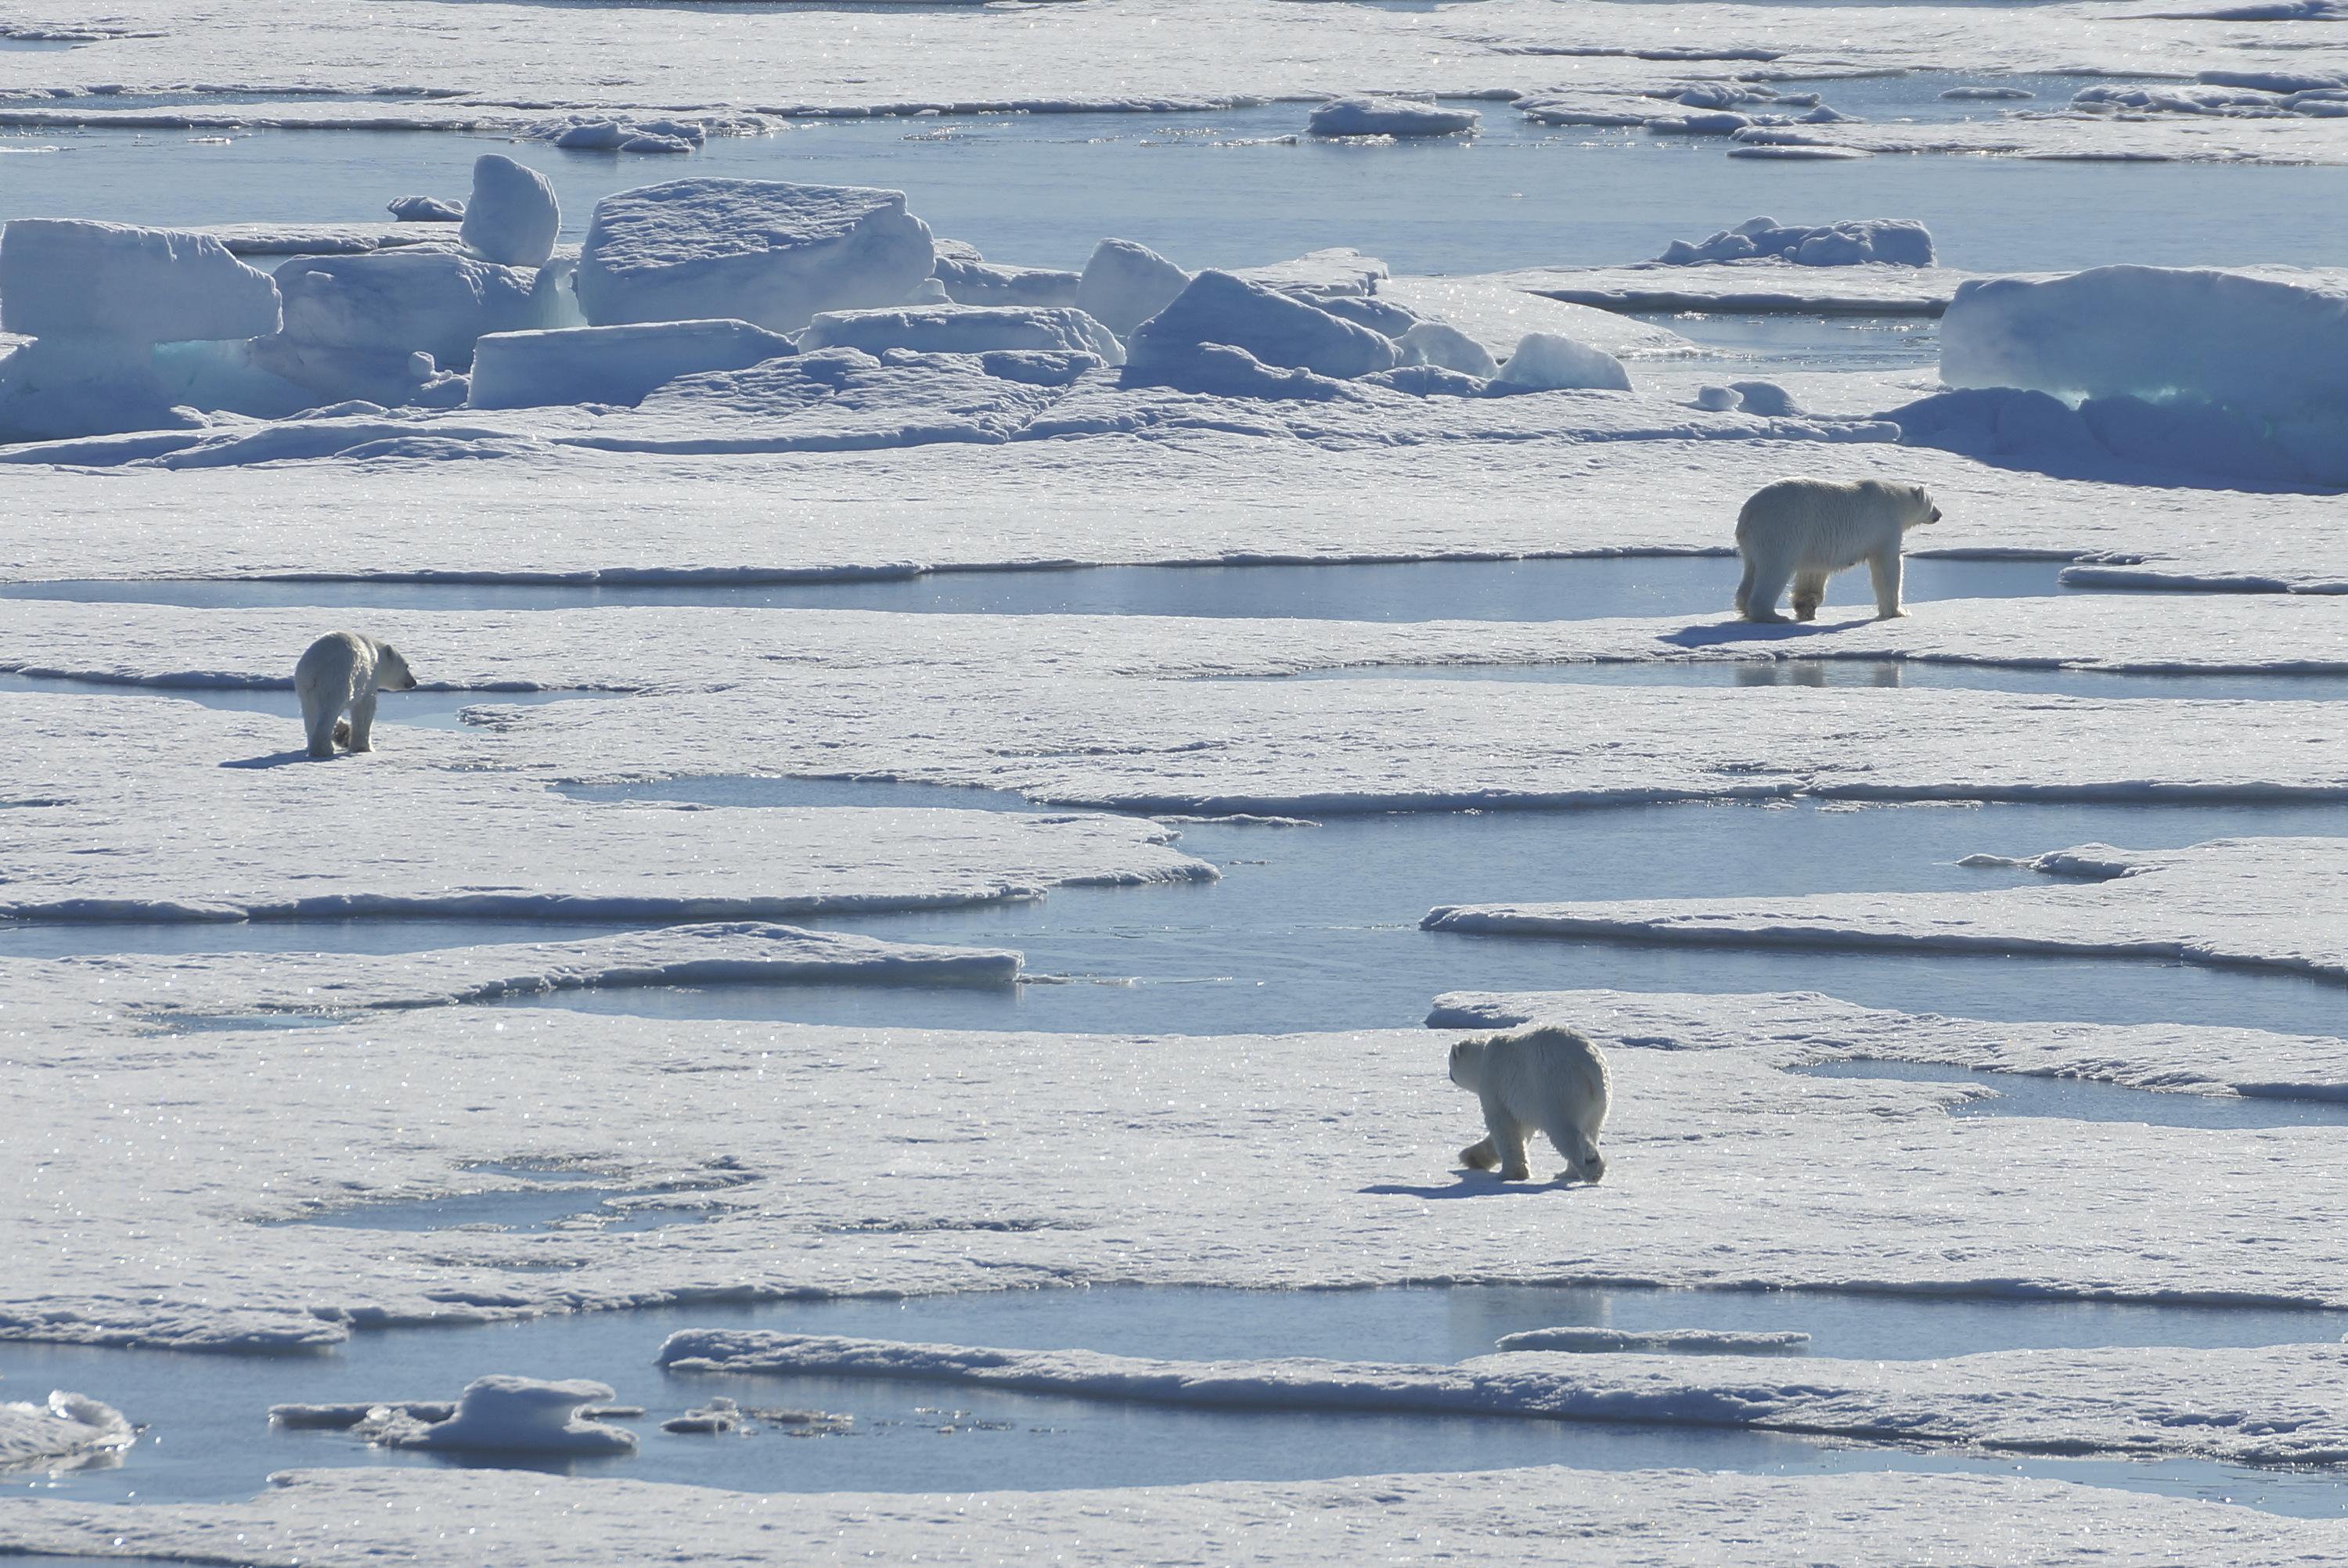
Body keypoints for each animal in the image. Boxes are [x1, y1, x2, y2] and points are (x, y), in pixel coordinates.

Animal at [296, 629, 420, 756]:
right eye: (407, 666)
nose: (414, 681)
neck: (376, 655)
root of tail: (313, 670)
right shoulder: (369, 679)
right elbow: (365, 709)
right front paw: (363, 747)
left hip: (305, 689)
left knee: (310, 713)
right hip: (336, 678)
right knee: (329, 710)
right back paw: (324, 749)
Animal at [1446, 1023, 1615, 1183]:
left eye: (1450, 1063)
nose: (1449, 1075)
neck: (1482, 1057)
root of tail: (1589, 1064)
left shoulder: (1494, 1082)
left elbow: (1502, 1124)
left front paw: (1511, 1173)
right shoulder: (1526, 1099)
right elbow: (1522, 1129)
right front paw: (1471, 1157)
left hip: (1558, 1089)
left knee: (1565, 1131)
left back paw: (1590, 1168)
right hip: (1599, 1100)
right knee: (1591, 1128)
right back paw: (1568, 1173)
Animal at [1728, 479, 1944, 624]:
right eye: (1932, 500)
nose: (1939, 514)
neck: (1898, 501)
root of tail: (1749, 510)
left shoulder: (1814, 543)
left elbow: (1813, 573)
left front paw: (1807, 605)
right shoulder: (1886, 525)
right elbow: (1887, 565)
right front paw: (1898, 611)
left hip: (1753, 540)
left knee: (1751, 569)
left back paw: (1745, 608)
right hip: (1781, 527)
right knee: (1775, 569)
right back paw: (1773, 615)